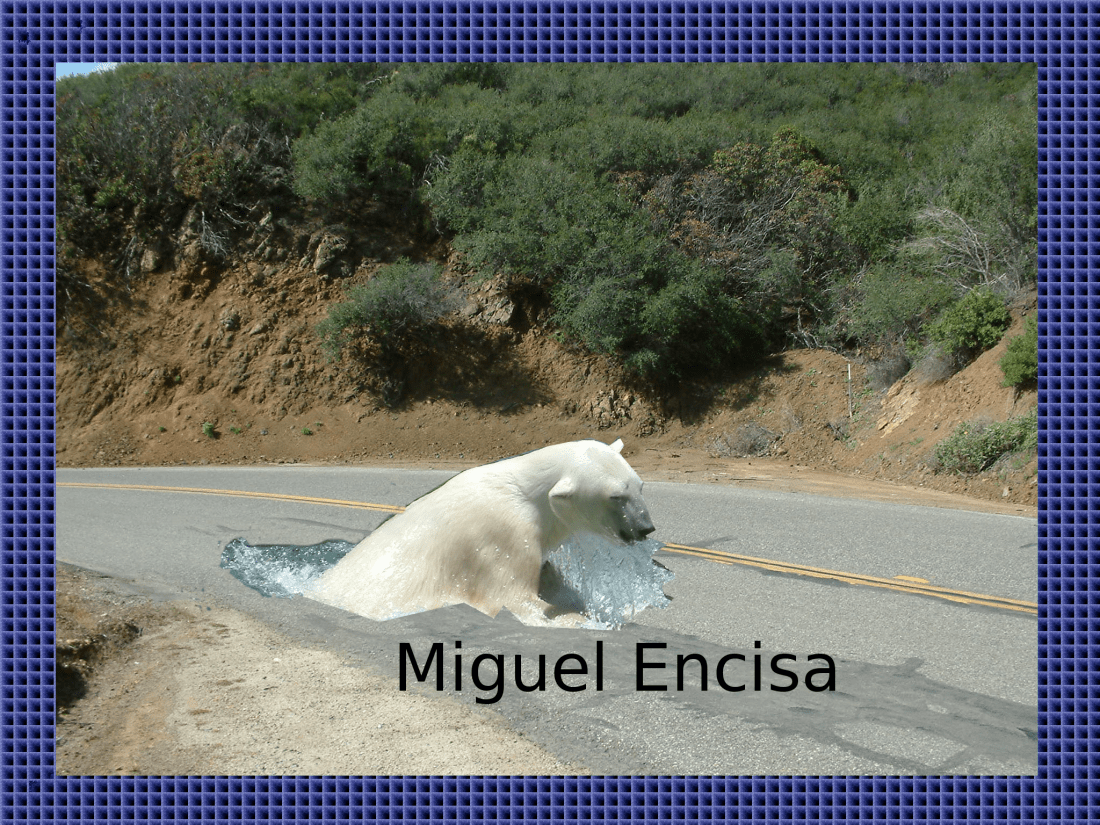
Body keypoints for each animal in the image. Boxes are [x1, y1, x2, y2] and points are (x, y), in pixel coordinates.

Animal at [305, 439, 655, 623]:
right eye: (616, 497)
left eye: (640, 486)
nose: (645, 528)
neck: (525, 489)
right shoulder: (502, 537)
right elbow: (515, 599)